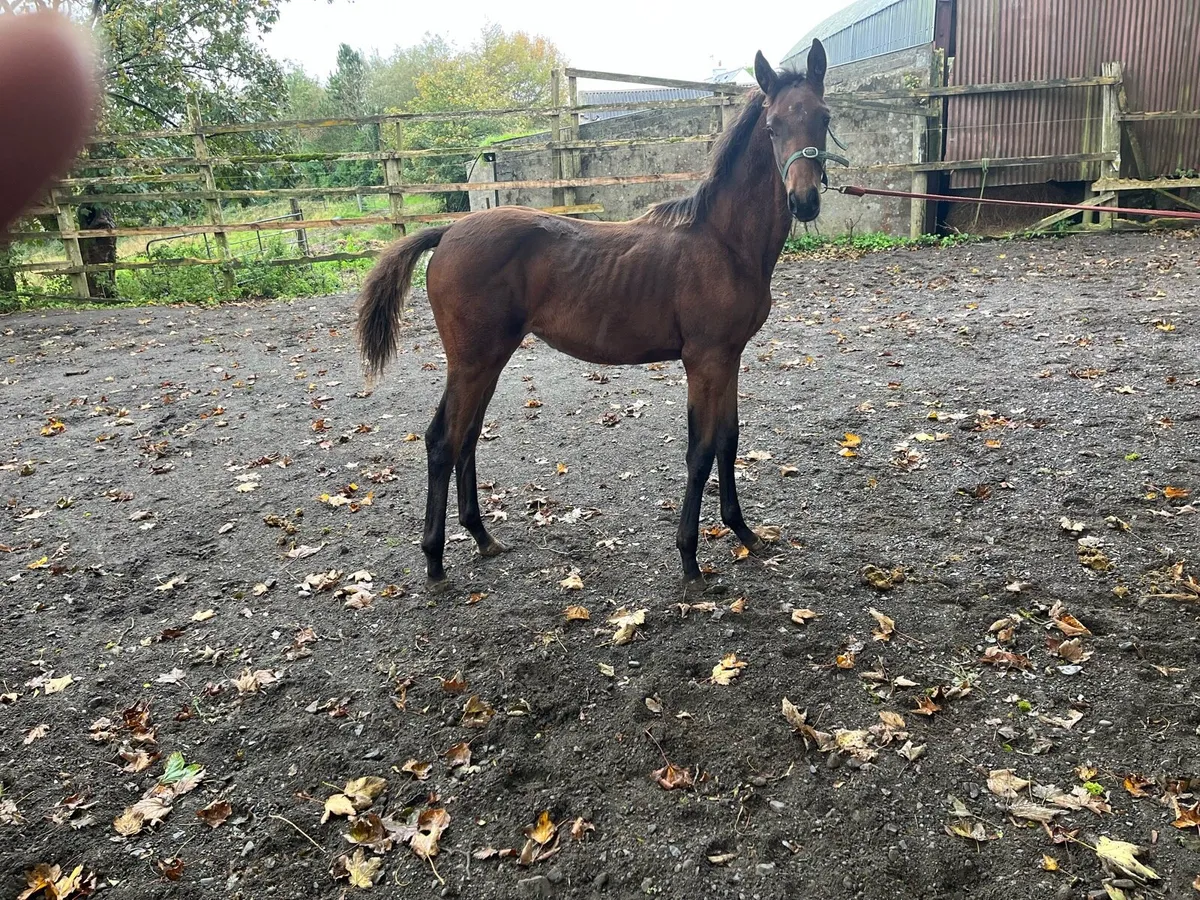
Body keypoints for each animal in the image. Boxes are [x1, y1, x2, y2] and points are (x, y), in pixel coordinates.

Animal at [357, 40, 840, 591]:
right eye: (773, 126)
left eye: (823, 117)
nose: (803, 201)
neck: (723, 242)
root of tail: (448, 232)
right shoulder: (704, 361)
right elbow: (700, 451)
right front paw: (689, 559)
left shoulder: (730, 358)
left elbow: (728, 441)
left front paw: (744, 532)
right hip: (471, 361)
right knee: (443, 440)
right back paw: (436, 561)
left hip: (490, 360)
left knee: (467, 438)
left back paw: (482, 538)